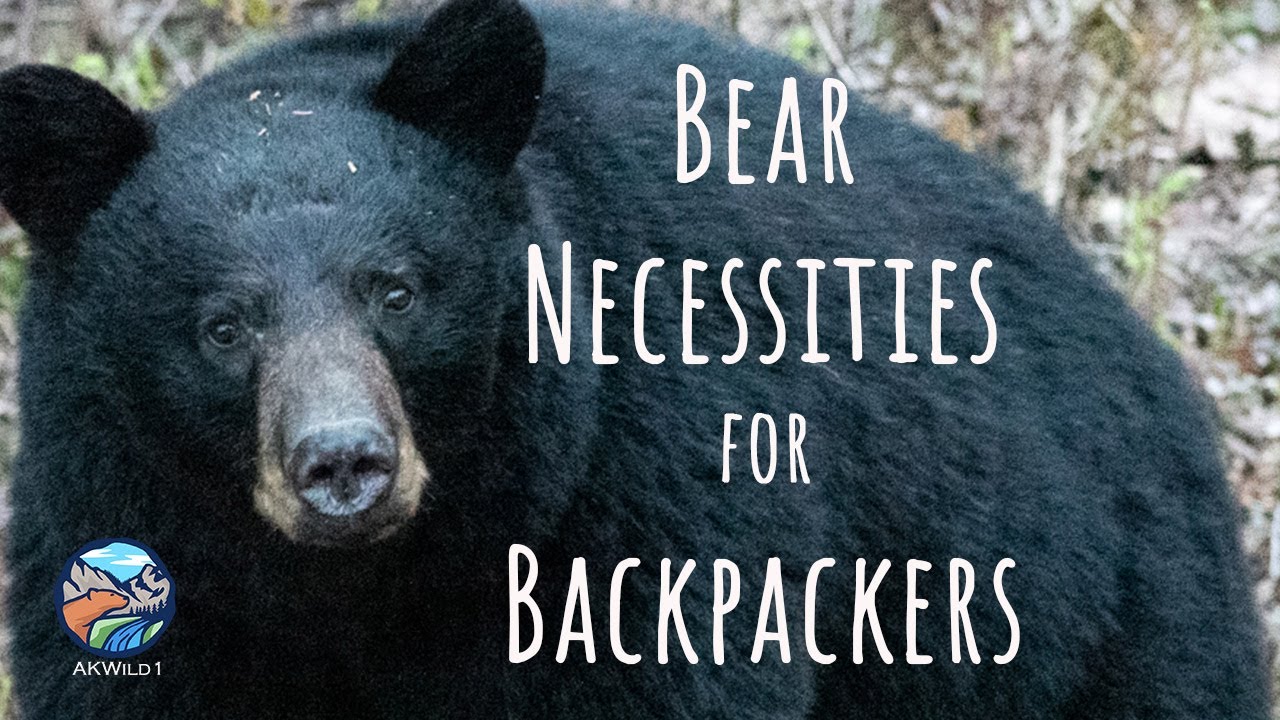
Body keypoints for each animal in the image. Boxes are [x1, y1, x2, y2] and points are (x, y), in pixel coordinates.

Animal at [0, 0, 1268, 717]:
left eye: (396, 290)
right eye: (223, 327)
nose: (343, 465)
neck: (369, 588)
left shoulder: (638, 500)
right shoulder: (112, 521)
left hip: (1096, 615)